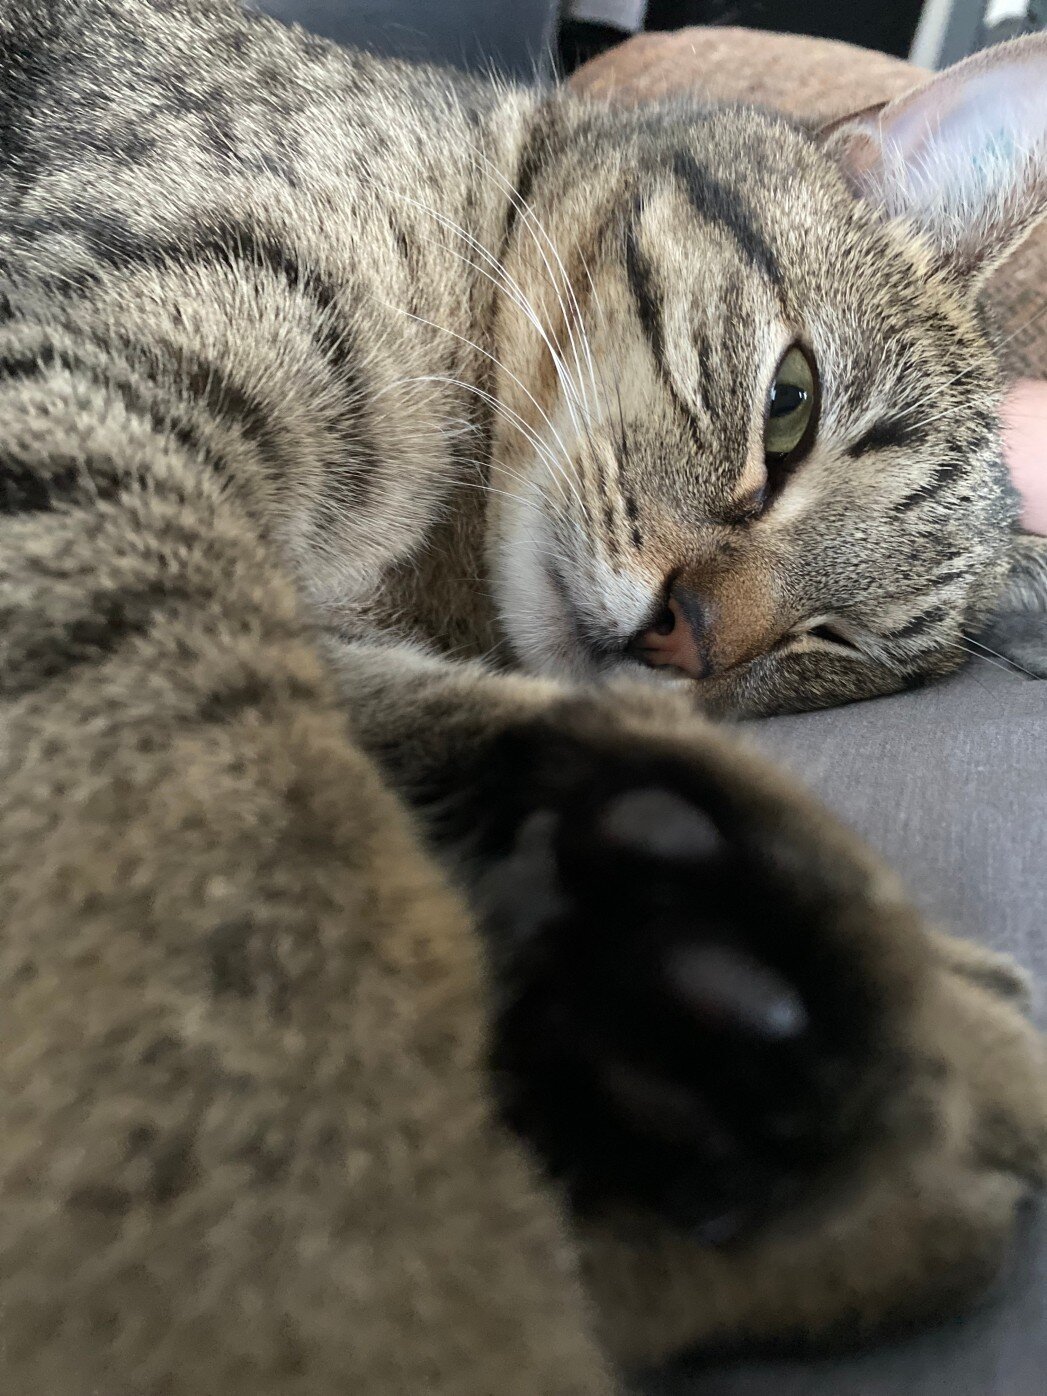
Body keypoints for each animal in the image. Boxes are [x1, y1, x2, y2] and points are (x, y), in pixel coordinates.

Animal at [2, 5, 1047, 1390]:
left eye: (835, 648)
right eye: (789, 407)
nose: (689, 640)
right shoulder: (86, 411)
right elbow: (253, 878)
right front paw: (368, 1286)